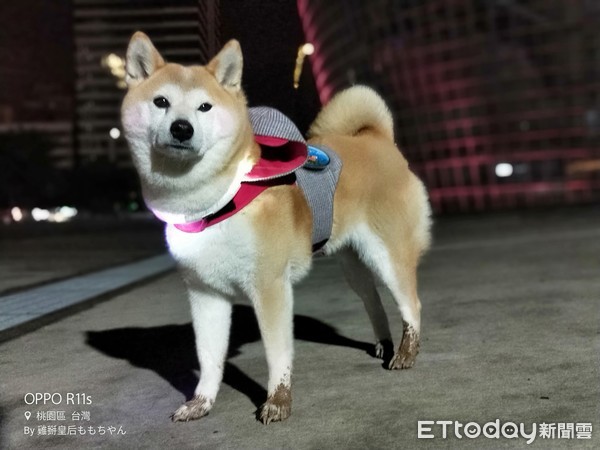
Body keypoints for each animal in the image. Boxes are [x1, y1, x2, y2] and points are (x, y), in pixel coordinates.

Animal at [120, 32, 432, 426]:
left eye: (205, 107)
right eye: (161, 101)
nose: (181, 127)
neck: (216, 199)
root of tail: (377, 140)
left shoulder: (269, 287)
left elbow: (276, 352)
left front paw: (278, 401)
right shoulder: (205, 293)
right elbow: (208, 357)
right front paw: (201, 401)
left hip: (387, 253)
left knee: (411, 302)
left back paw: (406, 352)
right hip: (353, 262)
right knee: (372, 299)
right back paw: (385, 344)